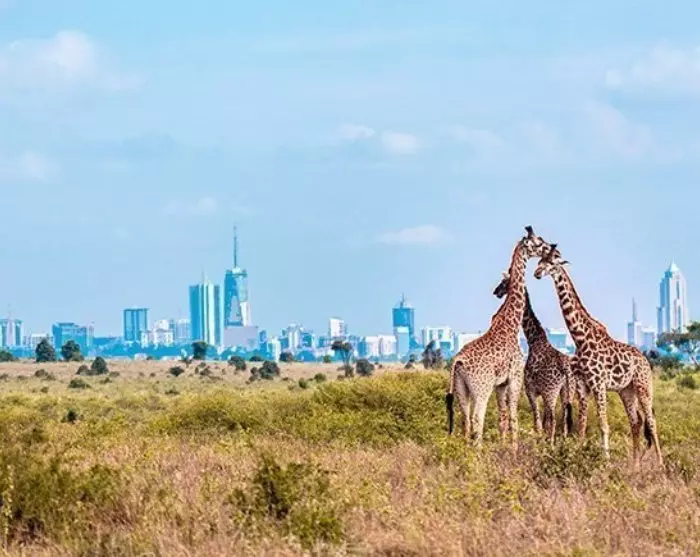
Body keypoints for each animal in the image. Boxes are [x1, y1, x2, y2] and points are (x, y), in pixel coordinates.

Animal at [446, 226, 554, 447]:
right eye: (538, 242)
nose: (550, 248)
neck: (511, 323)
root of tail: (458, 362)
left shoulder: (500, 384)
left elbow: (502, 418)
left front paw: (504, 447)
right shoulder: (514, 377)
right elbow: (513, 417)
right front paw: (513, 449)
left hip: (462, 389)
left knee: (465, 420)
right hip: (481, 388)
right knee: (477, 419)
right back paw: (477, 453)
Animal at [493, 271, 582, 443]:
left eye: (504, 282)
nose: (496, 292)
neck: (533, 339)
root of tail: (566, 369)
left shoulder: (531, 390)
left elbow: (538, 421)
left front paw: (539, 442)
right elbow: (543, 421)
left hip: (550, 391)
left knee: (553, 419)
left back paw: (551, 445)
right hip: (567, 391)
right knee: (564, 419)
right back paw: (563, 442)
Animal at [534, 245, 663, 464]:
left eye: (551, 262)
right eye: (539, 261)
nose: (537, 273)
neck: (580, 338)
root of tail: (645, 361)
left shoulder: (598, 384)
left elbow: (604, 425)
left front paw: (606, 461)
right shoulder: (582, 385)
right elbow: (582, 425)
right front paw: (577, 455)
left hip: (643, 386)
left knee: (651, 421)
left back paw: (661, 464)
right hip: (626, 390)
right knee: (636, 421)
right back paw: (635, 464)